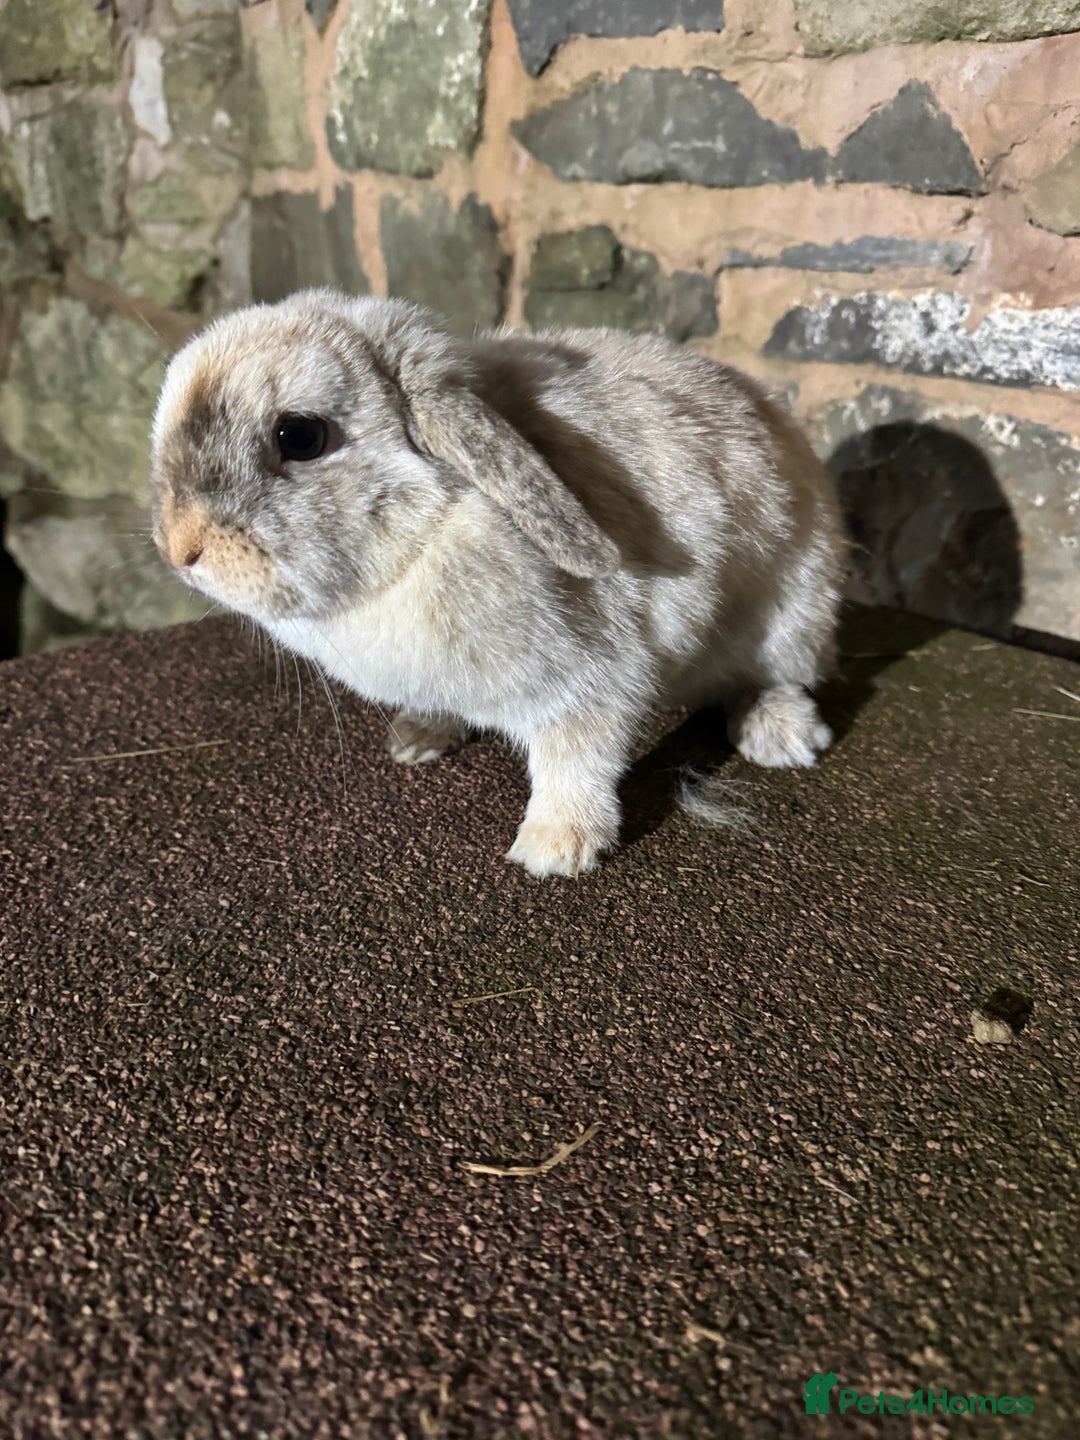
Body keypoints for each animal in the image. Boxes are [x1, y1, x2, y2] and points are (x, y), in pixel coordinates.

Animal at [149, 289, 846, 878]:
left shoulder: (593, 677)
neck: (427, 534)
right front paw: (418, 739)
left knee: (778, 675)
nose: (179, 548)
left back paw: (778, 734)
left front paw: (555, 850)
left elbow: (574, 756)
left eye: (300, 435)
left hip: (793, 611)